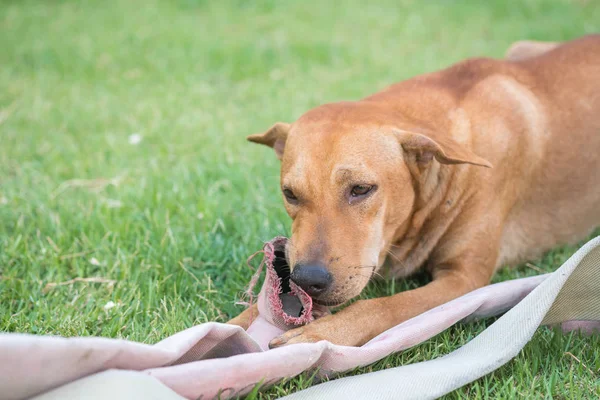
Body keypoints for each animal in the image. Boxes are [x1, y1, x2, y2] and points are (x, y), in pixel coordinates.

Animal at [230, 34, 600, 346]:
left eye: (361, 189)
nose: (307, 280)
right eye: (290, 194)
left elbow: (383, 306)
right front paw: (235, 326)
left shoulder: (464, 279)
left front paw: (322, 334)